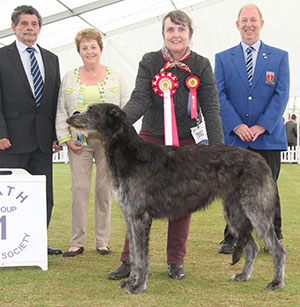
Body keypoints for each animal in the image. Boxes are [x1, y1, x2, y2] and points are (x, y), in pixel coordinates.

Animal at [67, 103, 288, 296]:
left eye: (91, 110)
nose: (69, 119)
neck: (130, 154)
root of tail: (261, 160)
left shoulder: (139, 217)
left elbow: (141, 258)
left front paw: (138, 286)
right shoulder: (130, 216)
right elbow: (134, 254)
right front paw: (130, 281)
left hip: (256, 210)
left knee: (277, 249)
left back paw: (276, 282)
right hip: (235, 212)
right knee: (252, 246)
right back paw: (243, 275)